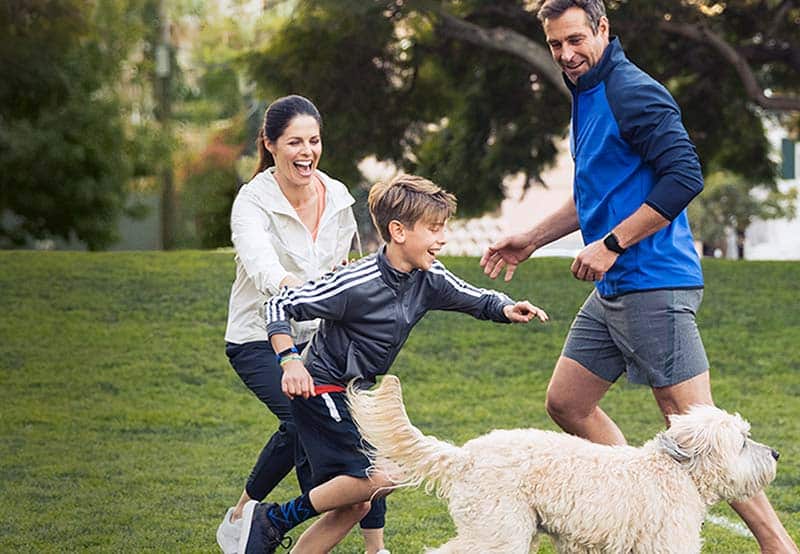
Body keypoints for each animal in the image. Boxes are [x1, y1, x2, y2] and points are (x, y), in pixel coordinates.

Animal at [346, 376, 780, 552]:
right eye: (743, 441)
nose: (776, 454)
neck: (676, 473)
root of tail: (466, 455)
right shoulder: (668, 545)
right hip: (500, 534)